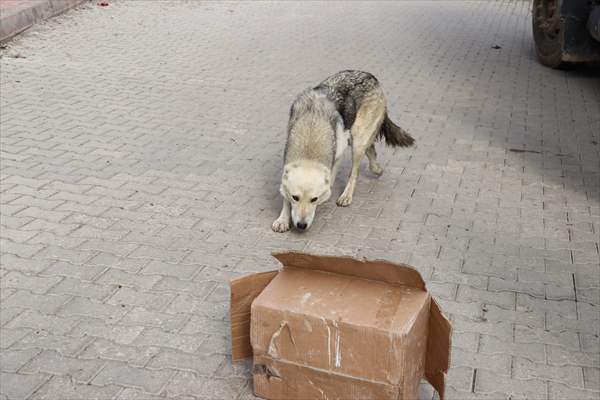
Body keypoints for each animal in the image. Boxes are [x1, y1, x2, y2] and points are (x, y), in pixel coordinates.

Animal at [272, 69, 412, 231]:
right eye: (295, 197)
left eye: (314, 199)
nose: (301, 225)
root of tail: (370, 76)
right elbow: (285, 196)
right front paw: (283, 219)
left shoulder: (338, 152)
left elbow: (333, 177)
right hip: (352, 137)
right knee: (371, 150)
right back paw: (377, 169)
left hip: (357, 141)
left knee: (355, 171)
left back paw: (347, 196)